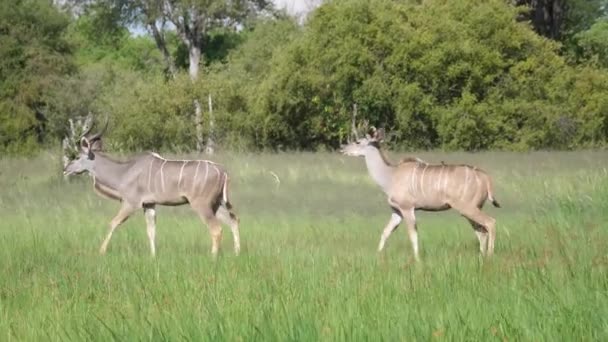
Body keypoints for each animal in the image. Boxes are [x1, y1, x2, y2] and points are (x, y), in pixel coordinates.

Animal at [62, 120, 240, 256]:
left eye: (77, 156)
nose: (65, 169)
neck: (124, 172)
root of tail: (223, 171)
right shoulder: (149, 204)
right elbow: (151, 230)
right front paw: (153, 256)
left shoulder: (130, 204)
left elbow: (112, 223)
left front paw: (101, 251)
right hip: (217, 204)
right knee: (233, 221)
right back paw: (237, 253)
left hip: (202, 205)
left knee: (216, 228)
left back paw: (213, 257)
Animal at [340, 127, 502, 260]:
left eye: (358, 141)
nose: (342, 149)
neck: (391, 175)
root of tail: (485, 177)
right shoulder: (396, 211)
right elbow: (386, 231)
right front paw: (377, 256)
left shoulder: (407, 208)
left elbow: (413, 235)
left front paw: (417, 260)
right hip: (471, 209)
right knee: (481, 231)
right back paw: (481, 257)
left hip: (467, 208)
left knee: (490, 223)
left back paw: (489, 256)